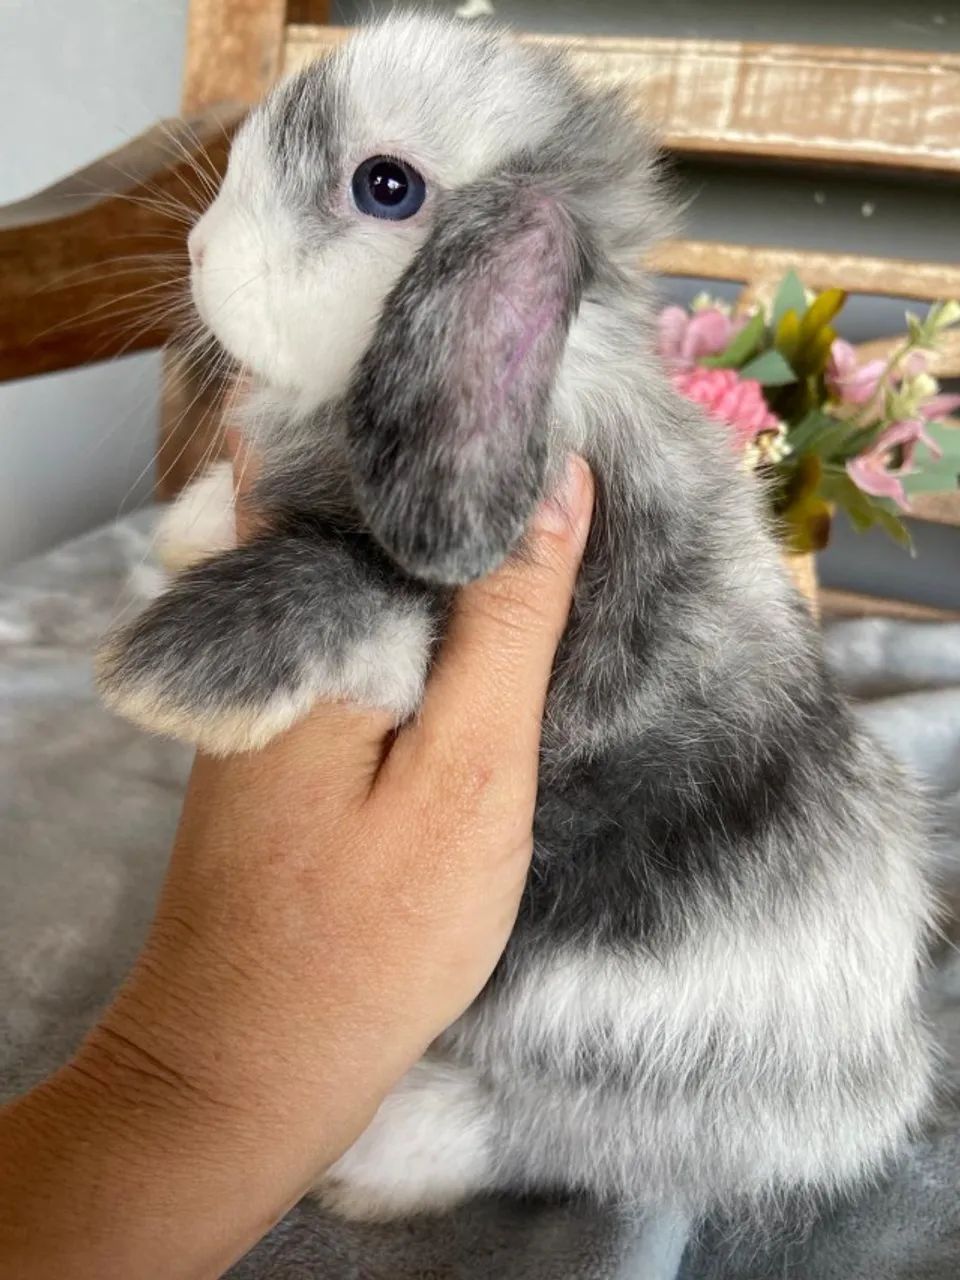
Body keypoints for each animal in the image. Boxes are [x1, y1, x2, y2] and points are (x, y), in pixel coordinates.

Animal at [96, 13, 935, 1267]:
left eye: (386, 186)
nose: (199, 254)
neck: (570, 375)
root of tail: (875, 1082)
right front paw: (187, 529)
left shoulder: (524, 661)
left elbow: (356, 588)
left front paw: (172, 671)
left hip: (612, 1038)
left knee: (560, 1131)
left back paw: (376, 1157)